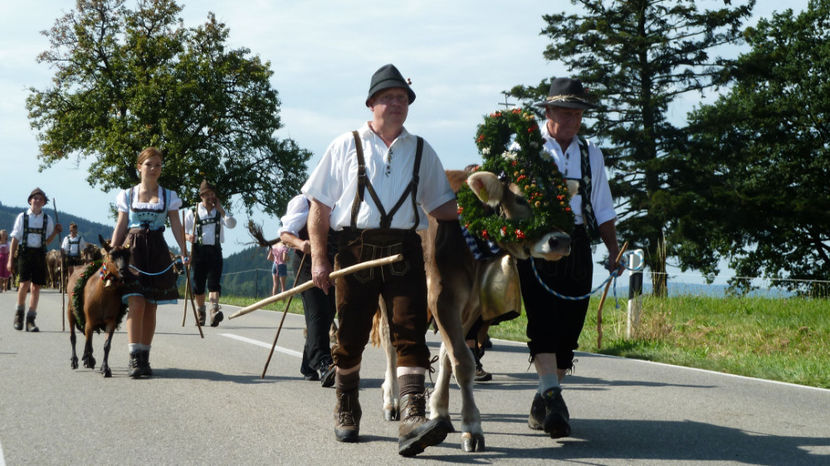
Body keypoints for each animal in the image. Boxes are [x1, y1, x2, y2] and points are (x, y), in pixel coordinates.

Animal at [66, 237, 132, 378]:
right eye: (112, 255)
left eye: (128, 255)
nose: (124, 271)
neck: (102, 295)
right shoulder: (90, 321)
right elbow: (88, 343)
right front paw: (90, 360)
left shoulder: (111, 322)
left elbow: (106, 345)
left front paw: (105, 368)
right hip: (70, 310)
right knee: (73, 337)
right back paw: (75, 360)